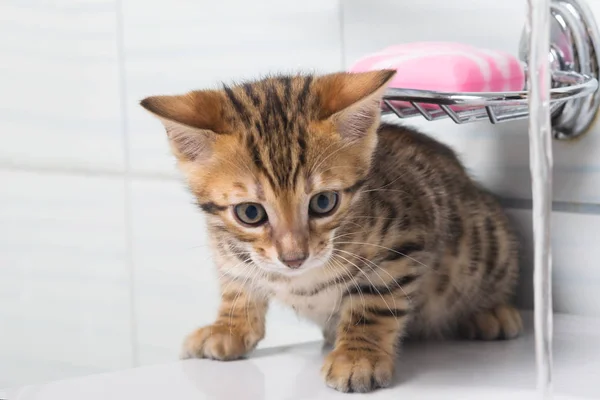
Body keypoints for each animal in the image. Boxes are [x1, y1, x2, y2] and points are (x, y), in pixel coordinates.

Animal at [142, 70, 520, 392]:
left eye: (323, 202)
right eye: (250, 213)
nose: (294, 258)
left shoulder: (404, 241)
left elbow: (374, 302)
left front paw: (358, 357)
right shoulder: (226, 249)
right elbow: (237, 284)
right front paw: (228, 327)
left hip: (488, 240)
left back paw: (490, 312)